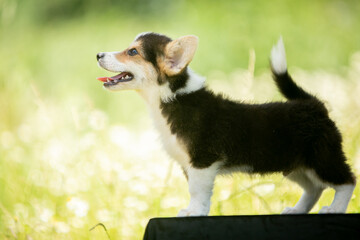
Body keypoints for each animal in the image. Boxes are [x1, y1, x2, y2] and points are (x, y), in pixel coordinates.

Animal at [95, 32, 354, 217]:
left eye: (133, 51)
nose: (98, 55)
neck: (172, 95)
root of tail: (313, 104)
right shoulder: (191, 166)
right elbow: (194, 191)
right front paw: (194, 210)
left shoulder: (202, 161)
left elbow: (197, 191)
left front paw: (195, 212)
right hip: (295, 165)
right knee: (314, 188)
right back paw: (297, 210)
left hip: (322, 157)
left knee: (347, 180)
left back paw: (335, 208)